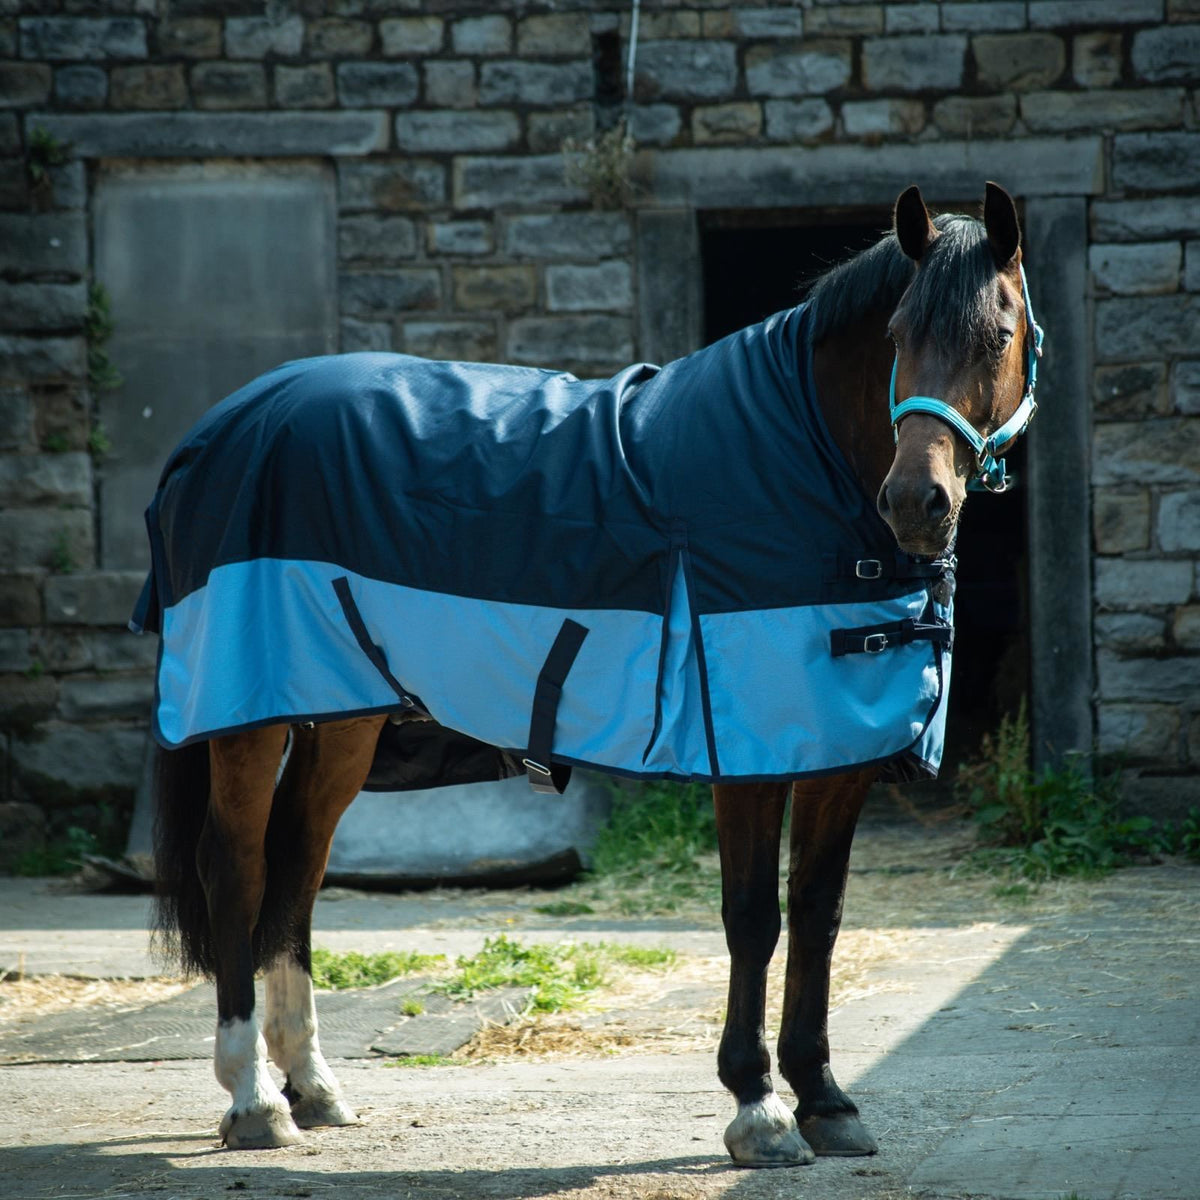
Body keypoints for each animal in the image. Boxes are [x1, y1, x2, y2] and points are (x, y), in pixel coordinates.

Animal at [144, 181, 1041, 1161]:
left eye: (998, 335)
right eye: (899, 334)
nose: (917, 502)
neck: (798, 456)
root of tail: (220, 428)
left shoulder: (836, 752)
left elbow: (819, 915)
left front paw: (827, 1100)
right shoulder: (745, 752)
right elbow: (753, 918)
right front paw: (758, 1107)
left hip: (343, 716)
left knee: (298, 869)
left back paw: (312, 1086)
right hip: (249, 715)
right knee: (238, 871)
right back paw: (253, 1101)